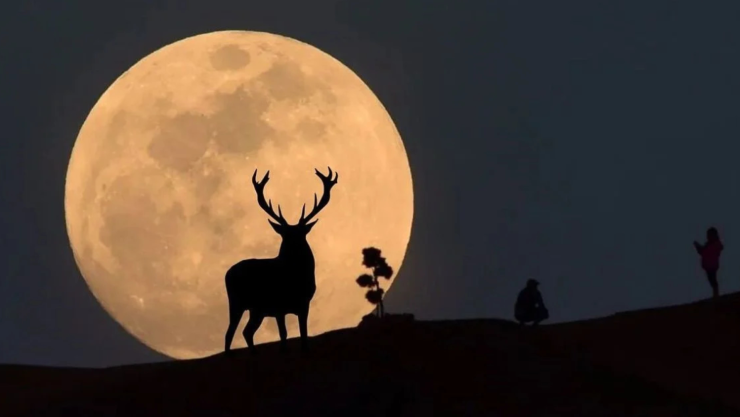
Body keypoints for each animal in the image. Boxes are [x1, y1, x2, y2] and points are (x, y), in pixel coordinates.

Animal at [224, 167, 338, 354]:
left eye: (300, 235)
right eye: (285, 236)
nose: (292, 250)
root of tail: (227, 273)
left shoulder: (304, 304)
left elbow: (304, 333)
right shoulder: (278, 306)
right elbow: (283, 335)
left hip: (257, 310)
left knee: (246, 332)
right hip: (236, 303)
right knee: (229, 333)